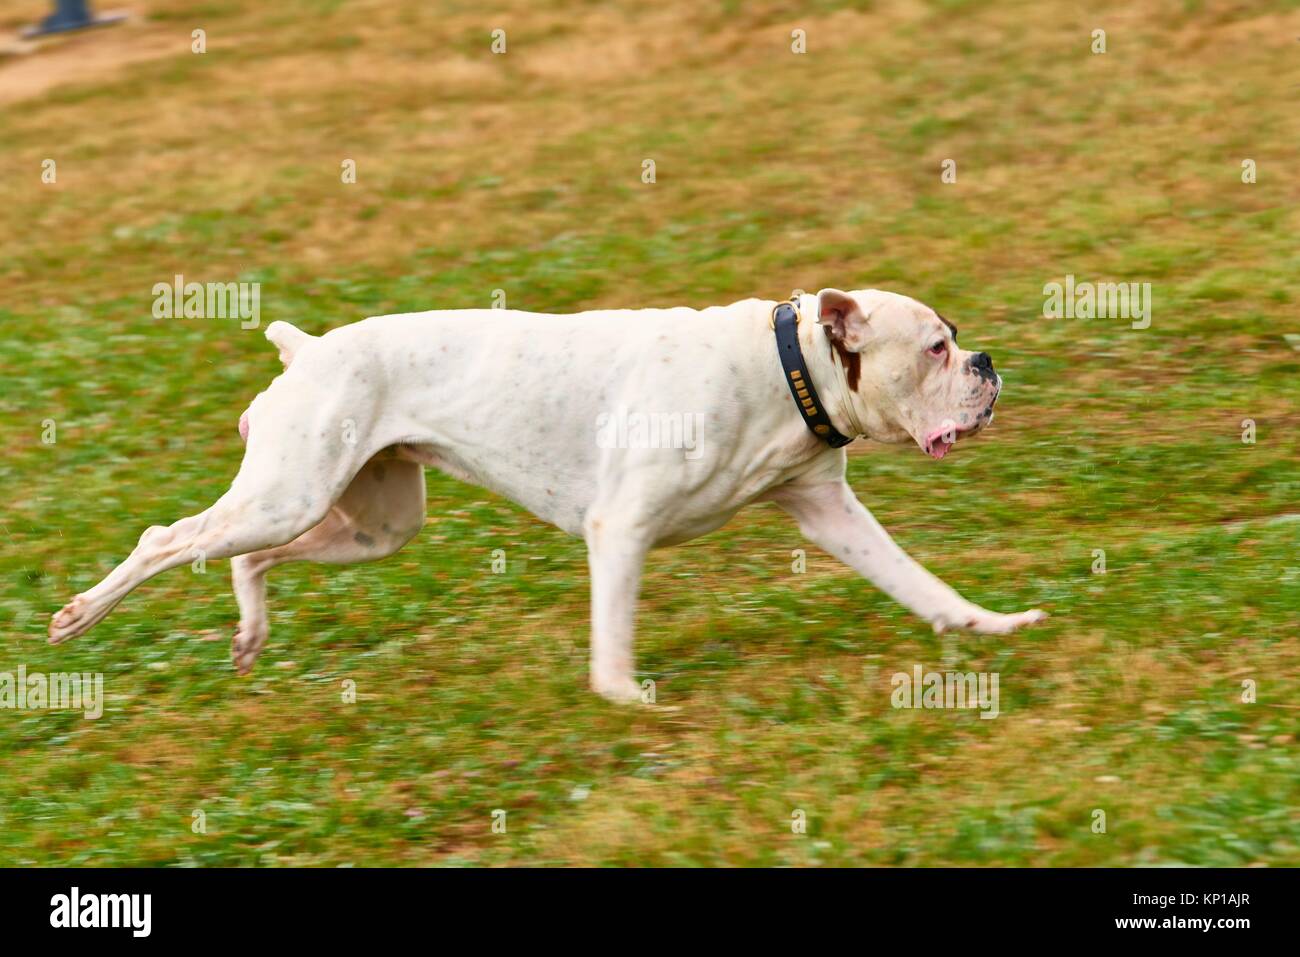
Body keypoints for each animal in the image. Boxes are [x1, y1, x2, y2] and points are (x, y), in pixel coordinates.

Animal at [48, 287, 1045, 696]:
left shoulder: (833, 515)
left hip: (370, 525)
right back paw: (80, 616)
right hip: (288, 496)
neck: (782, 365)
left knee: (248, 558)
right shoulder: (620, 530)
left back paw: (250, 631)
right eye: (935, 347)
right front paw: (624, 698)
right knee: (166, 538)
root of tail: (307, 348)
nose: (988, 362)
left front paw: (992, 626)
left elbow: (921, 583)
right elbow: (613, 636)